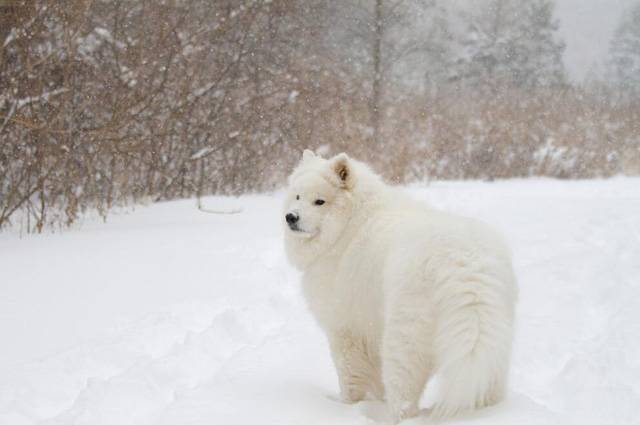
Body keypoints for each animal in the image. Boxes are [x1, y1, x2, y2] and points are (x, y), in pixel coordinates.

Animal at [282, 149, 516, 420]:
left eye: (319, 201)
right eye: (297, 195)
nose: (291, 217)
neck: (350, 225)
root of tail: (465, 264)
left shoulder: (345, 328)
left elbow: (350, 375)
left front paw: (348, 407)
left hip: (403, 338)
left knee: (403, 392)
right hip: (492, 338)